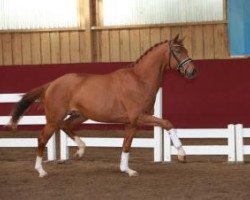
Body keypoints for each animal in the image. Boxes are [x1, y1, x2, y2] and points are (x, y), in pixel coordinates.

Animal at [9, 34, 197, 177]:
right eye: (178, 50)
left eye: (186, 49)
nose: (193, 71)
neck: (139, 81)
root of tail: (51, 84)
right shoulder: (139, 117)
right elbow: (167, 123)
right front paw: (182, 155)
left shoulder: (131, 123)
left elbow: (126, 145)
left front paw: (126, 170)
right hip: (54, 119)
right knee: (42, 138)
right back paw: (41, 170)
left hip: (80, 115)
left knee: (66, 126)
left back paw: (80, 151)